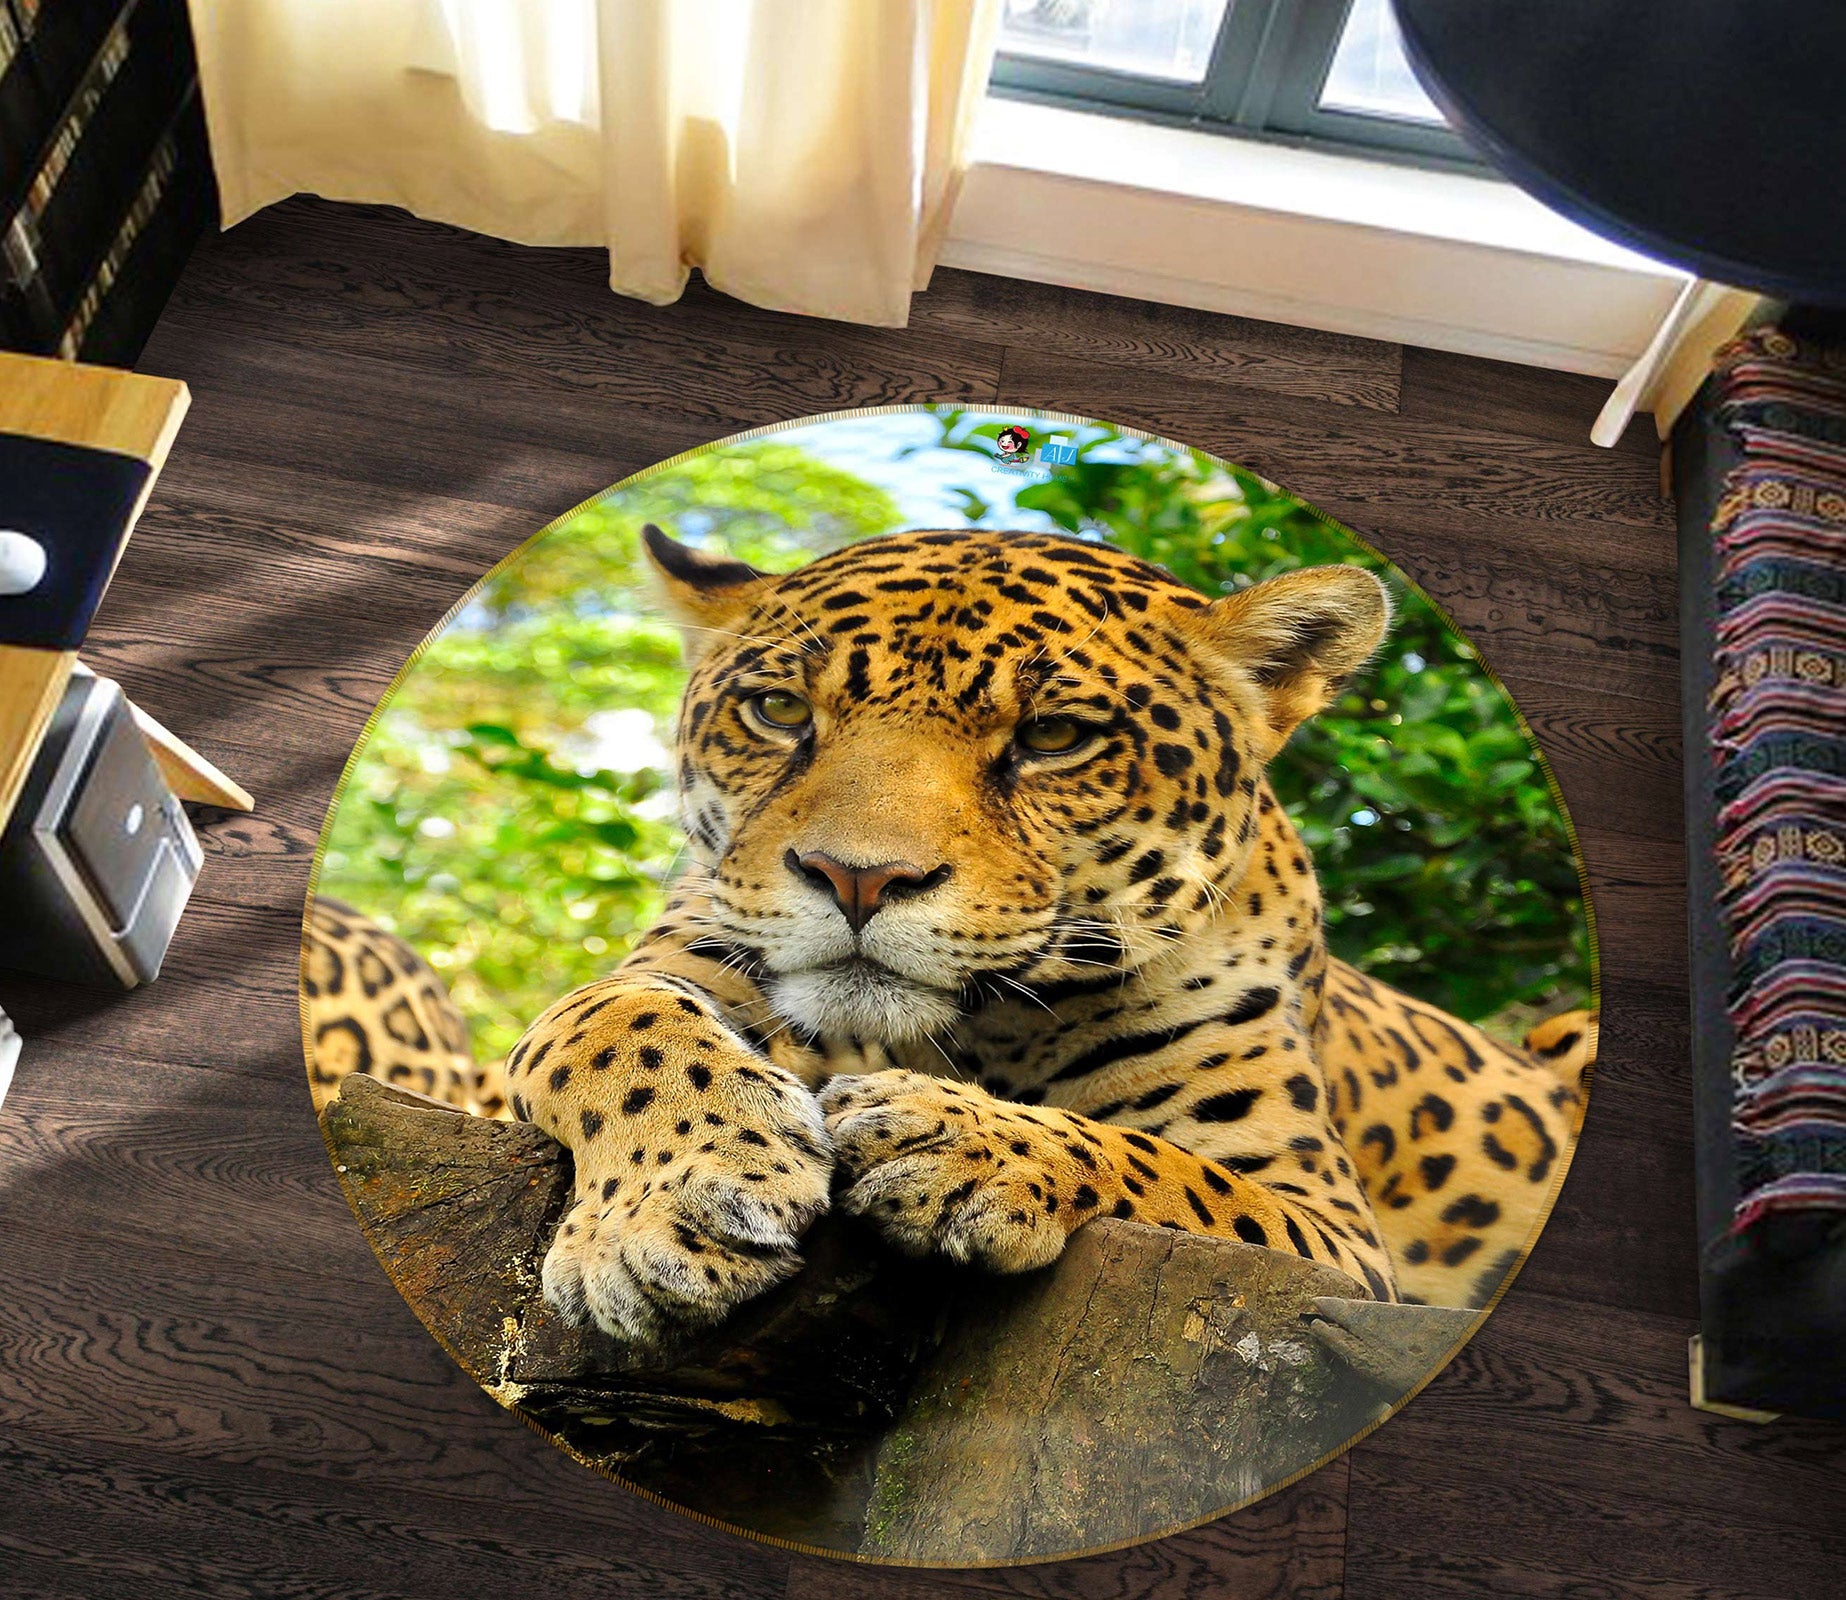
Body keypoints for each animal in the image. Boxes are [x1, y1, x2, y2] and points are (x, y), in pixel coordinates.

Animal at [307, 523, 1594, 1348]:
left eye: (1057, 736)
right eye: (778, 711)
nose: (857, 876)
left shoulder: (1326, 1229)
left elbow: (1161, 1165)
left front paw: (960, 1143)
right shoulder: (665, 965)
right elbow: (615, 1025)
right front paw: (677, 1203)